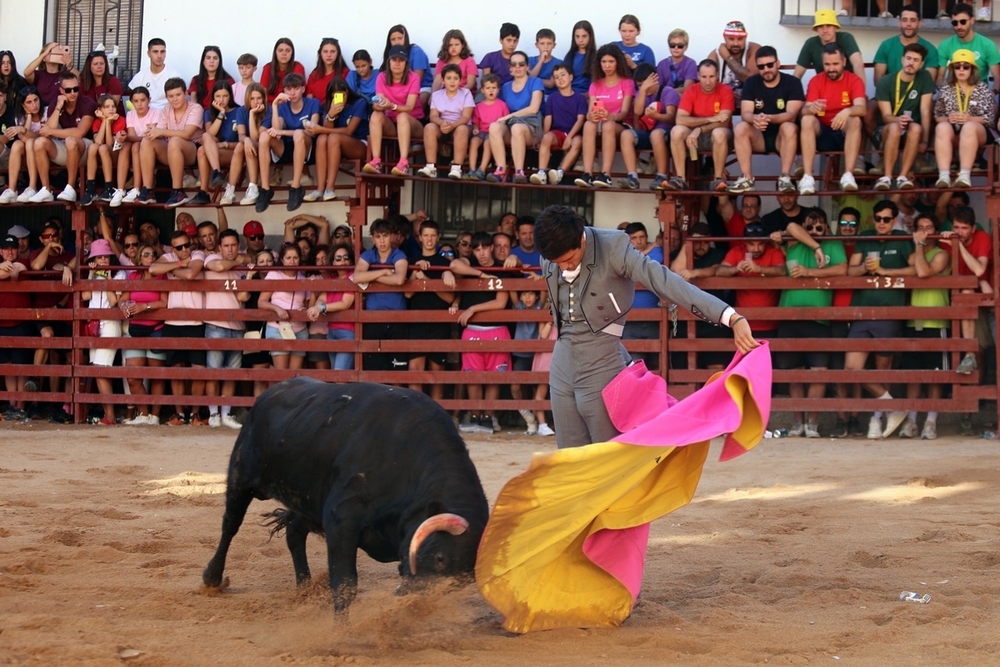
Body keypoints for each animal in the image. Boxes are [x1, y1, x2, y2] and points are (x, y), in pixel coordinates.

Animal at [201, 378, 490, 608]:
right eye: (440, 558)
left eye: (462, 581)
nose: (414, 601)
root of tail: (271, 391)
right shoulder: (341, 520)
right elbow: (345, 585)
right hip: (242, 476)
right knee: (230, 525)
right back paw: (212, 578)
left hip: (309, 501)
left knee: (294, 533)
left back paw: (304, 588)